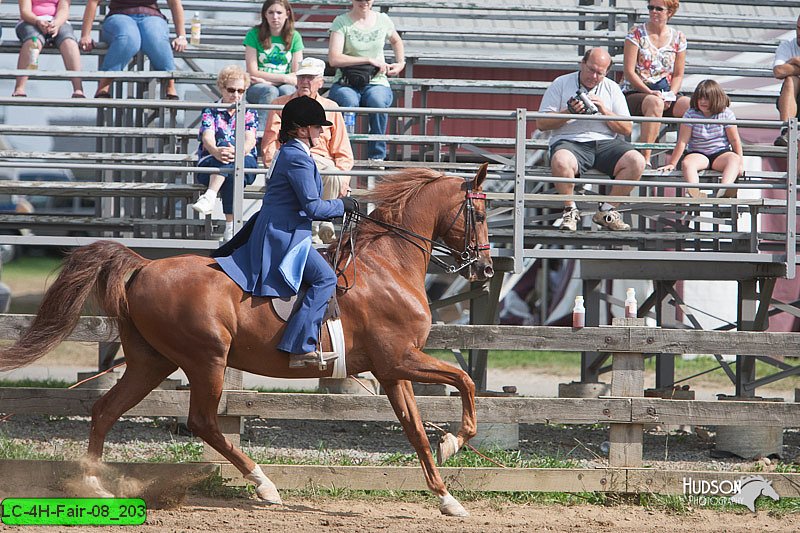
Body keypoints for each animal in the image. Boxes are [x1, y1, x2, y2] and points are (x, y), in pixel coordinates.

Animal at [0, 164, 494, 512]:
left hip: (151, 361)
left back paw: (95, 486)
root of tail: (143, 266)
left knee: (106, 409)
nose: (486, 270)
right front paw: (456, 441)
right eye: (481, 211)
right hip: (207, 360)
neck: (389, 264)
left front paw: (448, 498)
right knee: (202, 422)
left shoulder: (392, 371)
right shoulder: (399, 359)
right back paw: (265, 485)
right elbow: (465, 382)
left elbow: (415, 430)